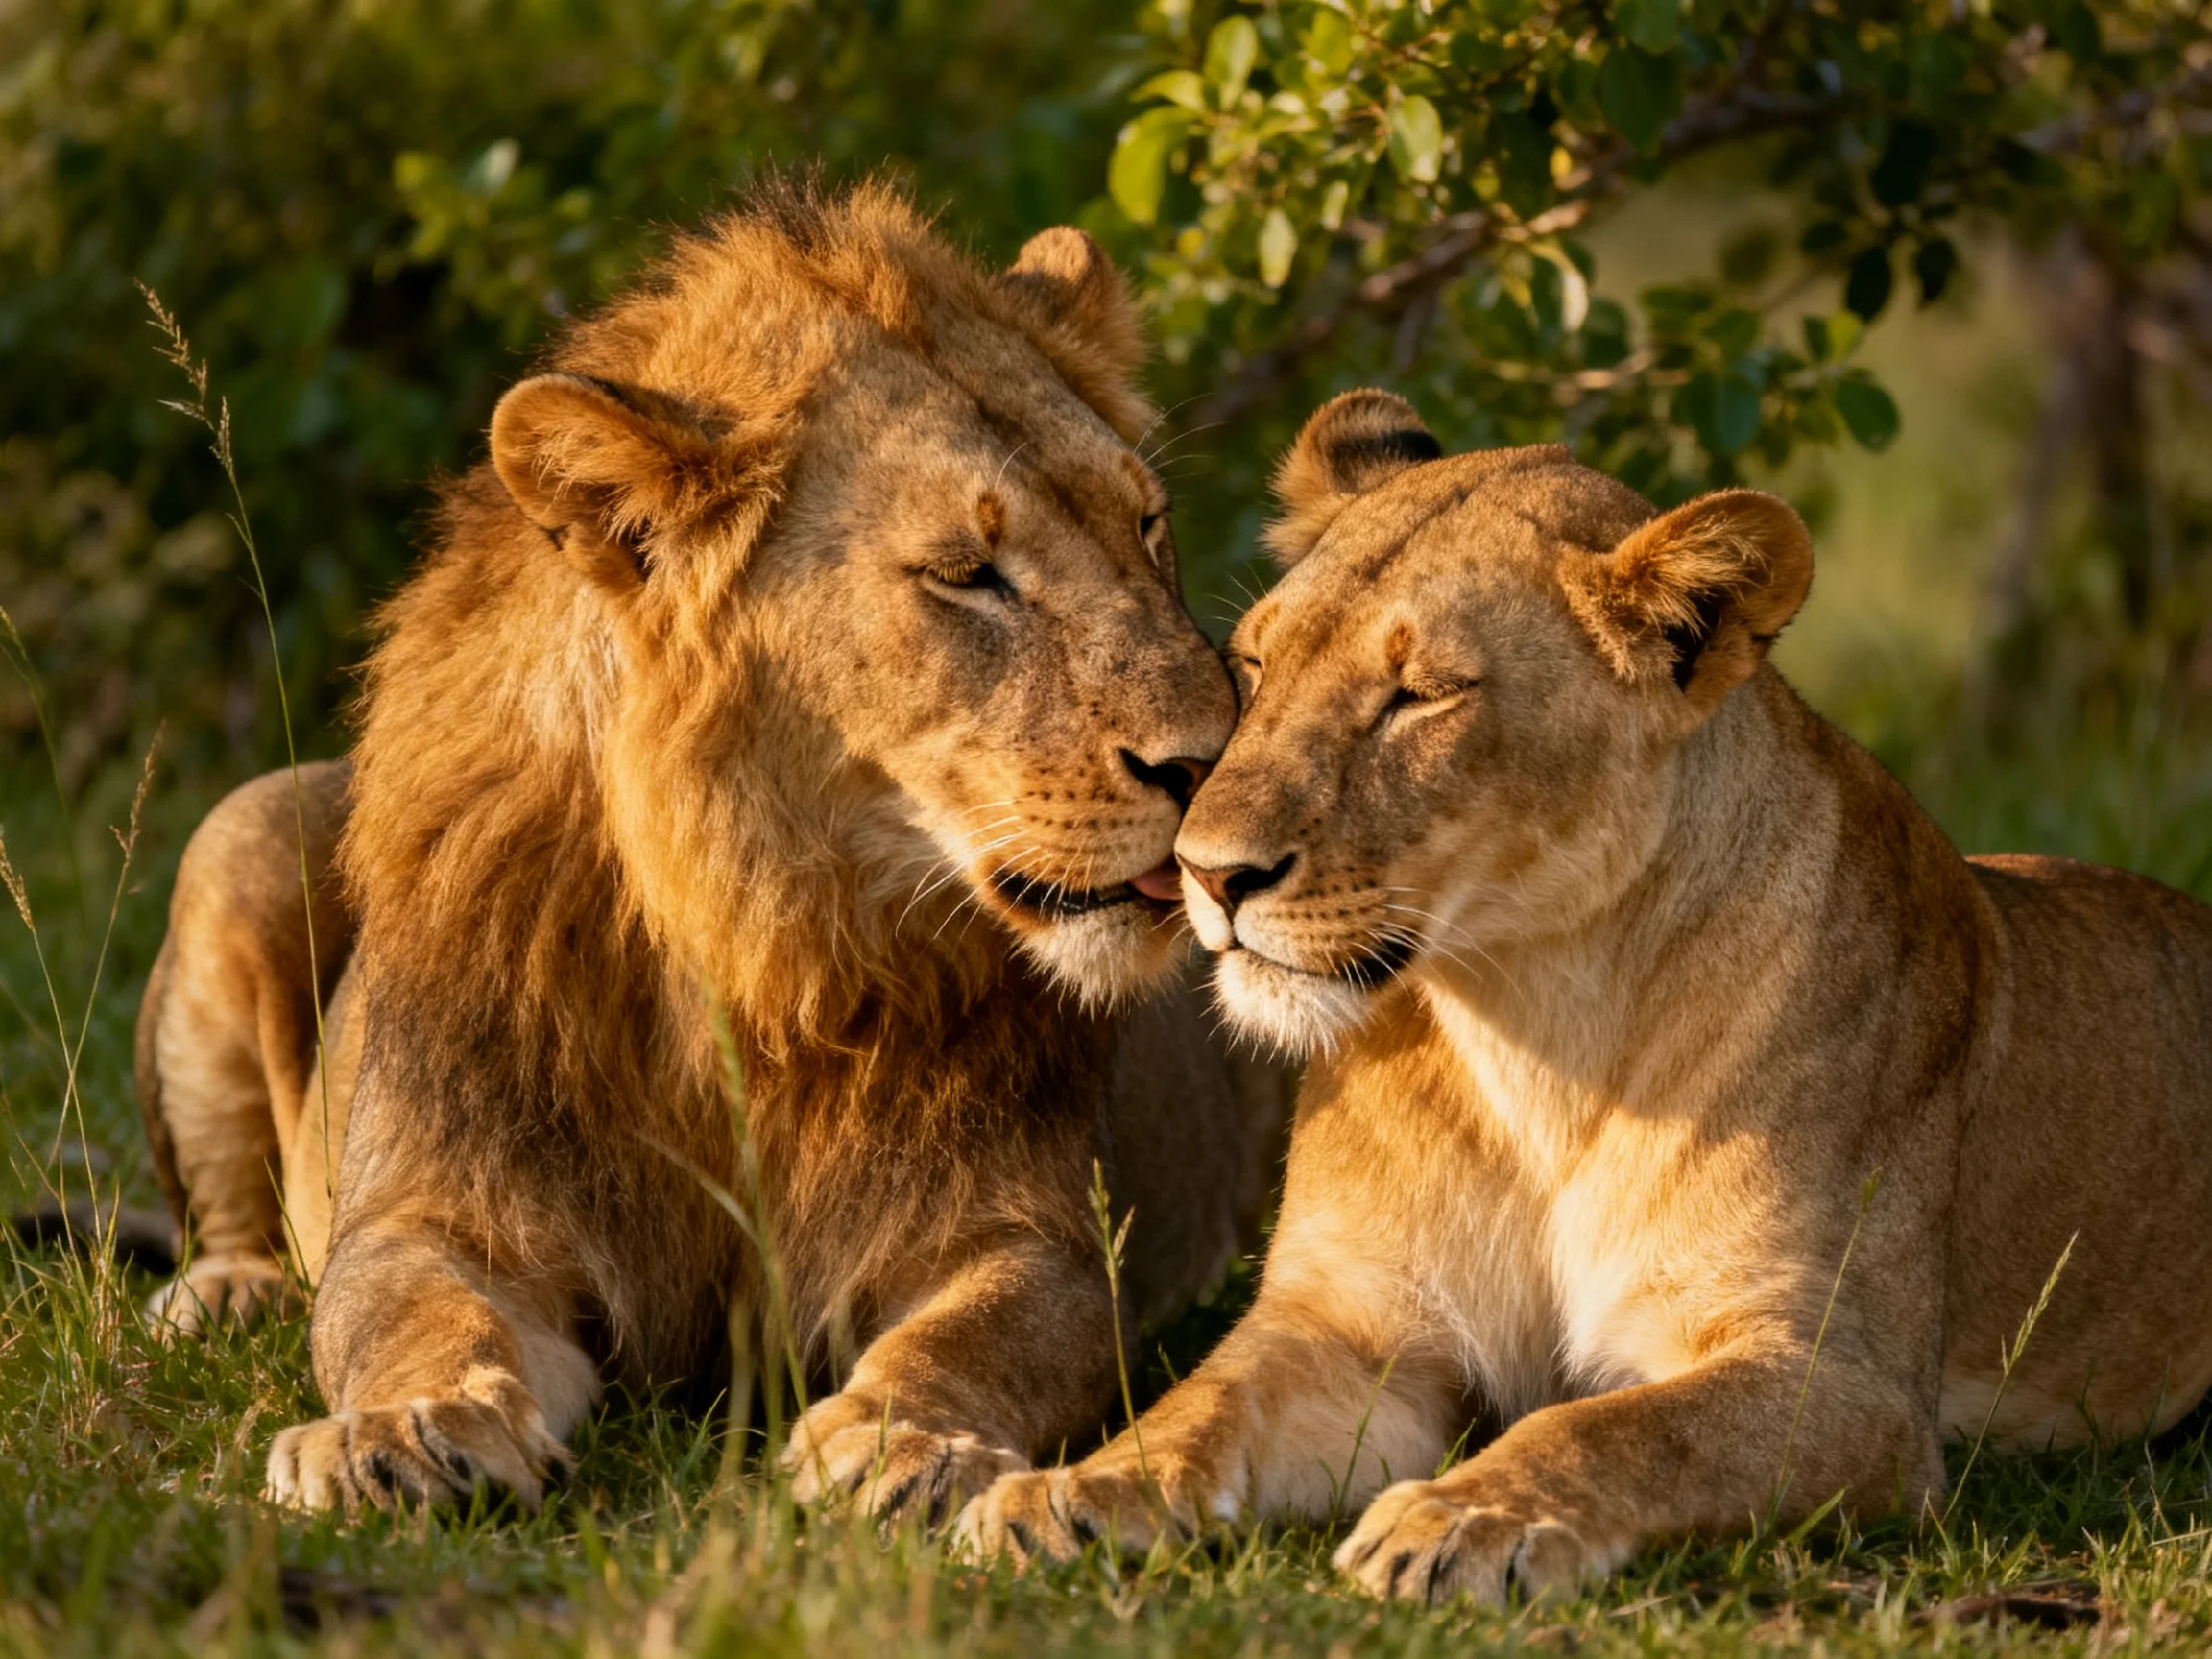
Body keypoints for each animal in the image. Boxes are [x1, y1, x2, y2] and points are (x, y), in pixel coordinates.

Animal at [135, 180, 1285, 1521]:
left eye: (1145, 526)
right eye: (966, 574)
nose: (1217, 760)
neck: (761, 930)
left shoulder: (1034, 1236)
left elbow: (976, 1338)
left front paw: (903, 1440)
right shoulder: (439, 1209)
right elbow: (407, 1315)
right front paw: (406, 1430)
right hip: (243, 825)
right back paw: (222, 1296)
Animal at [958, 389, 2212, 1604]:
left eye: (1419, 697)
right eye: (1257, 666)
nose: (1207, 871)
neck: (1535, 1025)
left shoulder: (1839, 1377)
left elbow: (1615, 1431)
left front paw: (1461, 1521)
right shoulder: (1357, 1326)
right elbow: (1197, 1411)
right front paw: (1059, 1495)